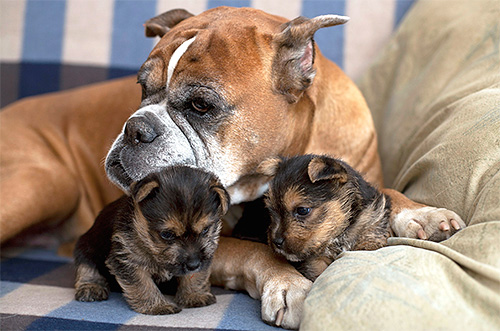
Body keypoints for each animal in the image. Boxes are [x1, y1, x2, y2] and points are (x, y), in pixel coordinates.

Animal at [73, 167, 229, 316]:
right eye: (167, 234)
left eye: (205, 230)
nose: (193, 264)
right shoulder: (127, 259)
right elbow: (143, 284)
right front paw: (157, 306)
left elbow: (195, 276)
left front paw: (194, 295)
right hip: (86, 246)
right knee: (87, 268)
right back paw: (91, 287)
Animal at [260, 154, 392, 282]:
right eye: (271, 211)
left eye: (302, 210)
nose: (276, 241)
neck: (339, 234)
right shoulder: (316, 261)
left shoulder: (371, 224)